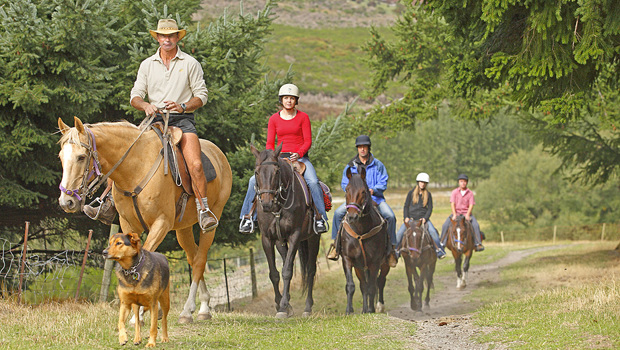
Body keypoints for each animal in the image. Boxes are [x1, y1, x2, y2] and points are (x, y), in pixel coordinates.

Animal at [57, 117, 232, 322]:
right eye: (60, 157)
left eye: (81, 157)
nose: (66, 201)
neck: (134, 169)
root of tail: (218, 153)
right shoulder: (128, 225)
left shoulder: (161, 224)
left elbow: (143, 262)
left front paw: (138, 314)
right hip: (183, 229)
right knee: (193, 256)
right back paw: (203, 304)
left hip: (211, 221)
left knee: (199, 260)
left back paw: (190, 311)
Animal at [251, 144, 320, 318]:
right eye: (257, 172)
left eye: (277, 172)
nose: (266, 203)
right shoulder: (268, 238)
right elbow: (274, 273)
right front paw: (280, 304)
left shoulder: (294, 236)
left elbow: (287, 271)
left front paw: (282, 307)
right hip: (281, 242)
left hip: (313, 239)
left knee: (311, 270)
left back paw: (307, 307)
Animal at [336, 167, 390, 314]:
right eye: (347, 190)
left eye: (363, 191)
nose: (352, 216)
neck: (360, 231)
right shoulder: (347, 259)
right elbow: (351, 285)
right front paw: (349, 311)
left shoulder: (375, 262)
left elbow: (372, 286)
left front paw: (371, 310)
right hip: (359, 267)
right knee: (363, 285)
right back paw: (365, 309)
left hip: (384, 264)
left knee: (380, 282)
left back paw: (378, 306)